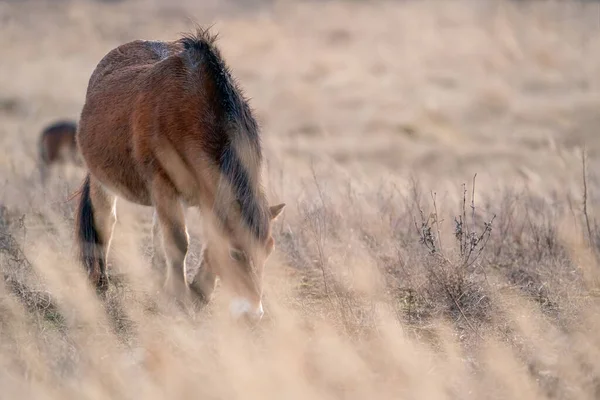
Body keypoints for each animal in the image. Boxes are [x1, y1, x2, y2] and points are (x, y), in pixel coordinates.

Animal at [75, 28, 286, 322]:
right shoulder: (164, 185)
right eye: (235, 253)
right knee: (105, 222)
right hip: (101, 180)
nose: (253, 314)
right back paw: (100, 283)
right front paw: (179, 296)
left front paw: (198, 292)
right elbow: (178, 242)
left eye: (268, 251)